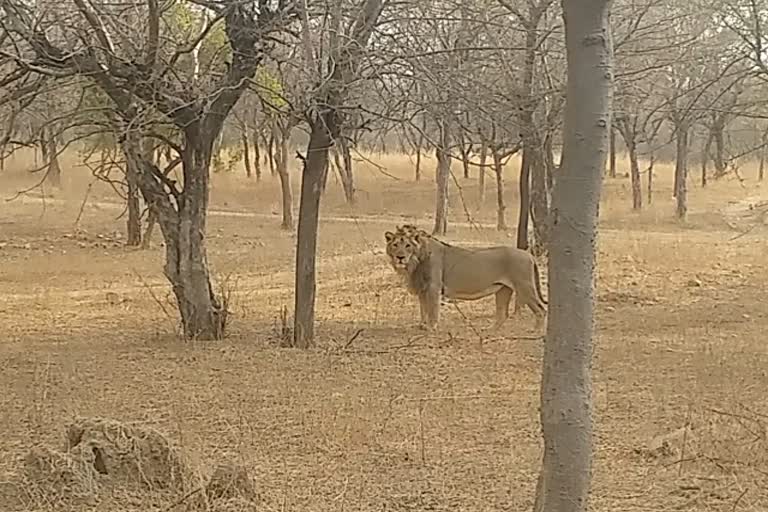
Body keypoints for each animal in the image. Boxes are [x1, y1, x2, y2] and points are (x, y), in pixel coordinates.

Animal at [384, 224, 544, 332]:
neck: (415, 262)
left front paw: (431, 327)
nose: (400, 257)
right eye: (395, 245)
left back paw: (536, 331)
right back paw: (489, 330)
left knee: (541, 309)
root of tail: (529, 255)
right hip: (503, 290)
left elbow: (432, 309)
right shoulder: (422, 289)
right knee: (502, 314)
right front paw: (422, 325)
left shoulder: (433, 288)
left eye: (408, 245)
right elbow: (423, 309)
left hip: (525, 287)